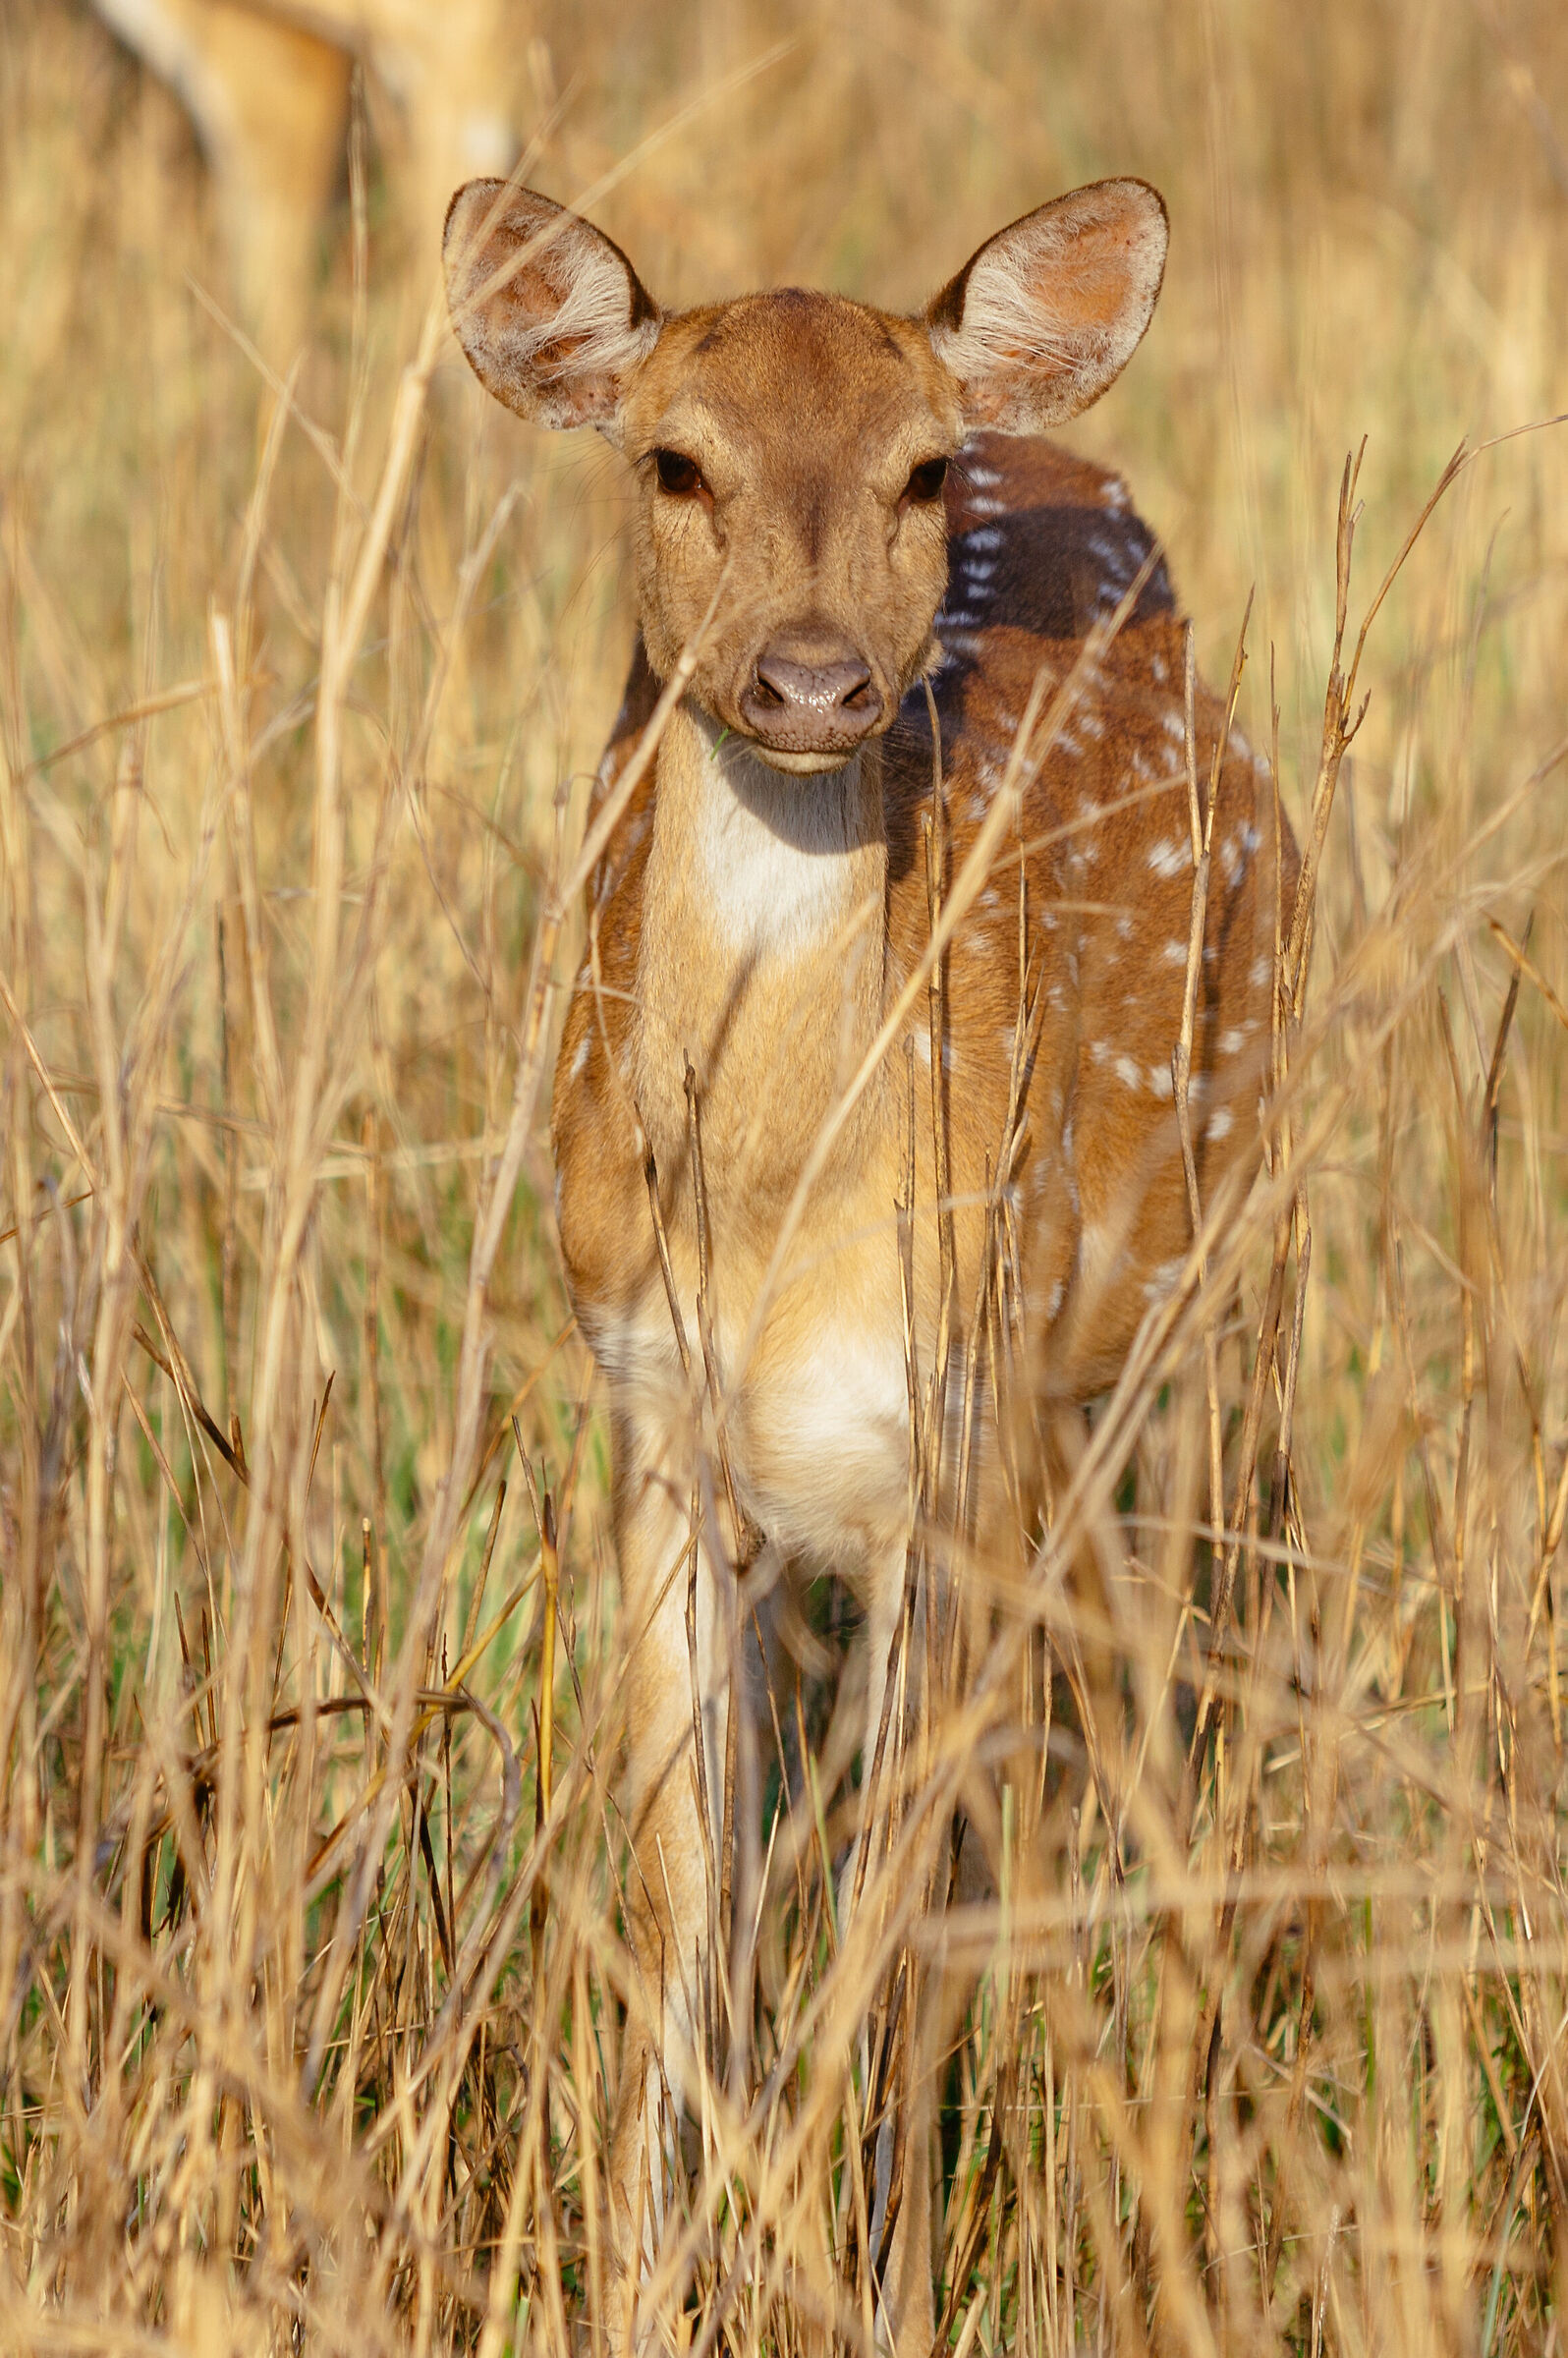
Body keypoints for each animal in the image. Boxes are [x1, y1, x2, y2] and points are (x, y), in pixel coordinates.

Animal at [444, 171, 1296, 2352]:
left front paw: (879, 2285)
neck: (768, 1218)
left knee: (1153, 1719)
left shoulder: (956, 1440)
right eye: (673, 461)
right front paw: (646, 2280)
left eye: (914, 472)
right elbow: (686, 1909)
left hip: (1190, 1317)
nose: (818, 680)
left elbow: (892, 1940)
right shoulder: (656, 1426)